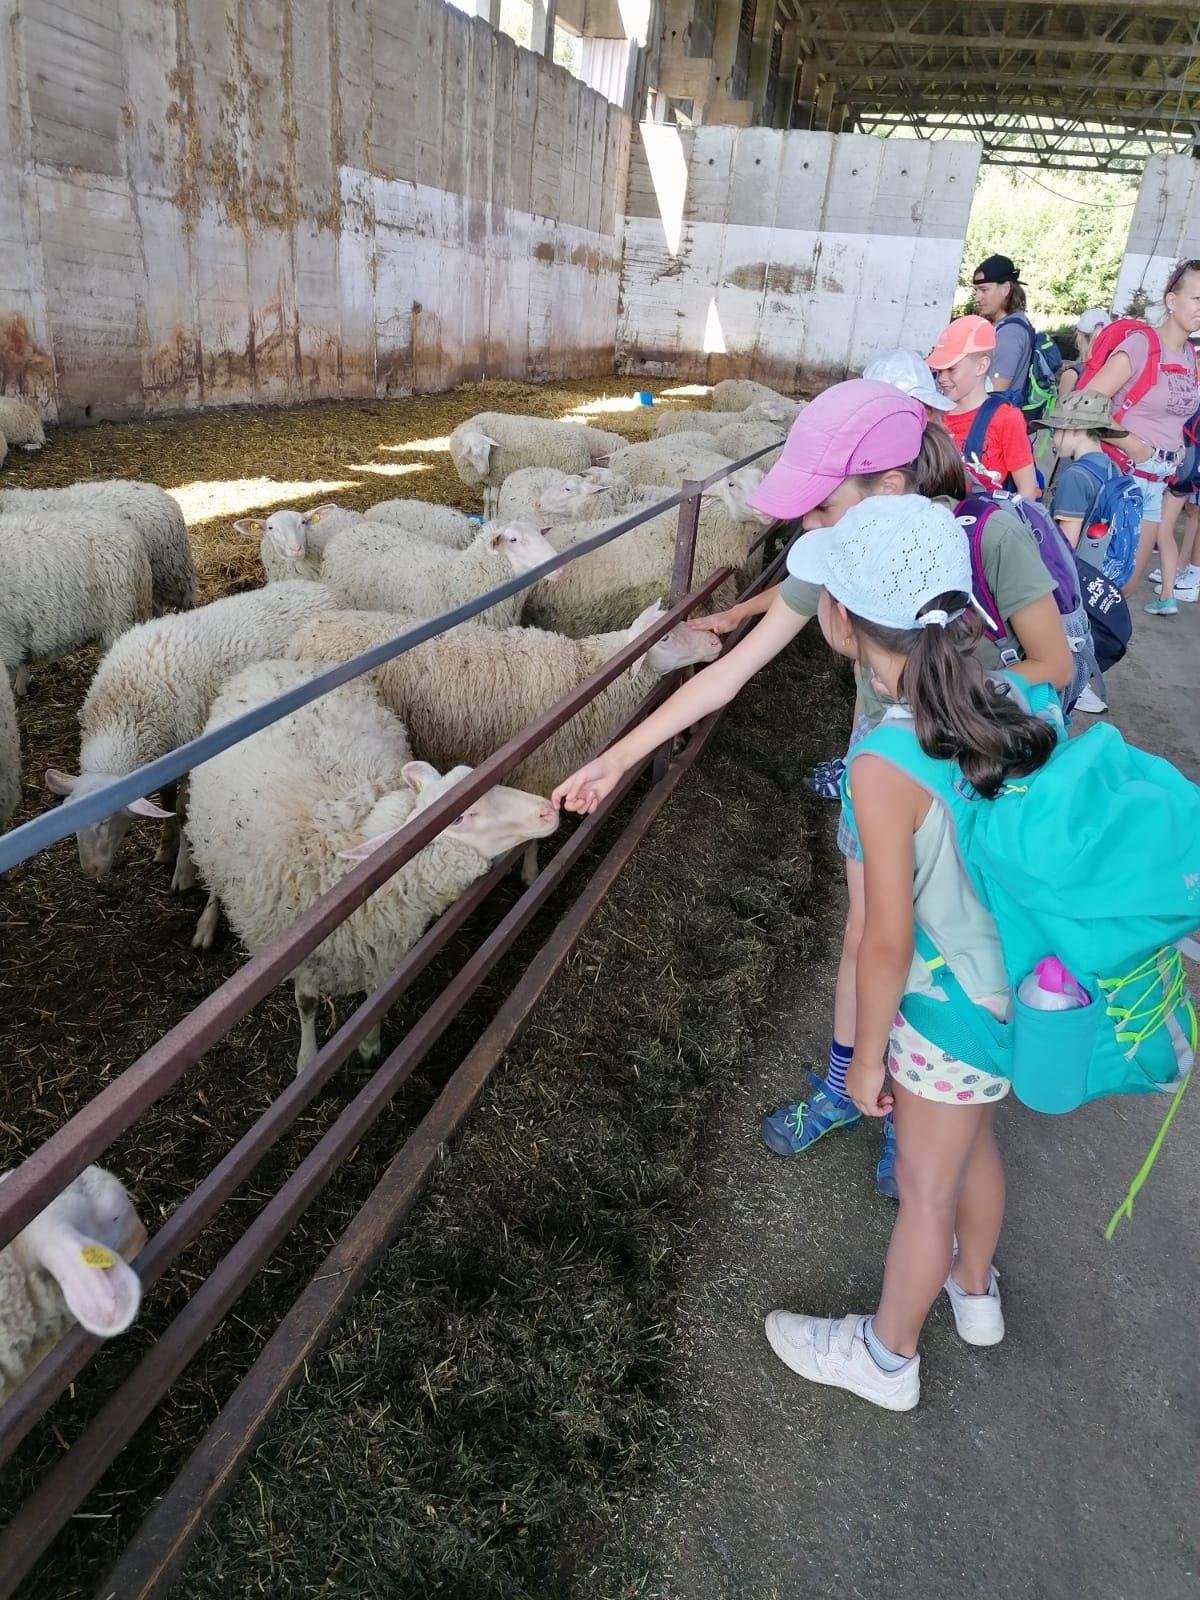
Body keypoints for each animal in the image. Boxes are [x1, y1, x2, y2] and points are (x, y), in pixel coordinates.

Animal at [44, 581, 336, 886]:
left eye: (104, 821)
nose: (91, 870)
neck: (125, 708)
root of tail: (320, 587)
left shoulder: (188, 749)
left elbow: (184, 811)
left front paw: (184, 872)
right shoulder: (165, 756)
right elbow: (166, 800)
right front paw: (165, 848)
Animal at [185, 659, 559, 1071]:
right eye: (460, 818)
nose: (547, 809)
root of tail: (273, 663)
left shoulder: (382, 946)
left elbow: (376, 996)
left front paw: (368, 1045)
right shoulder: (301, 955)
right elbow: (307, 1003)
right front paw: (308, 1059)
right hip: (207, 830)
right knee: (213, 878)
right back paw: (206, 922)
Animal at [449, 413, 626, 515]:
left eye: (487, 450)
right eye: (473, 453)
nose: (485, 470)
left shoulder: (497, 476)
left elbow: (493, 501)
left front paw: (494, 518)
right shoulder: (488, 480)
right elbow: (486, 499)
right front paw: (486, 519)